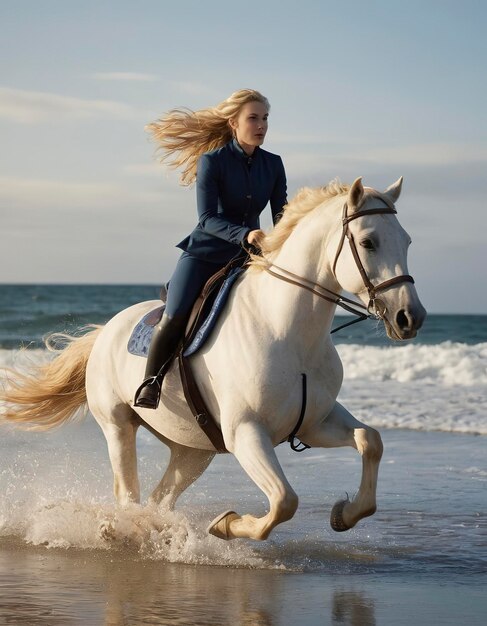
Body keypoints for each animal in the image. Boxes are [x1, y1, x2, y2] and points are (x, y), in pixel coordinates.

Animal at [0, 178, 426, 540]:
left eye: (407, 241)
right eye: (368, 242)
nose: (411, 318)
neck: (287, 332)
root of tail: (105, 330)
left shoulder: (313, 424)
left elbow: (370, 440)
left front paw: (344, 514)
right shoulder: (246, 433)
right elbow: (284, 501)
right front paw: (226, 524)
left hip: (194, 449)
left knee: (159, 498)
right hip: (118, 425)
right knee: (128, 493)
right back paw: (120, 531)